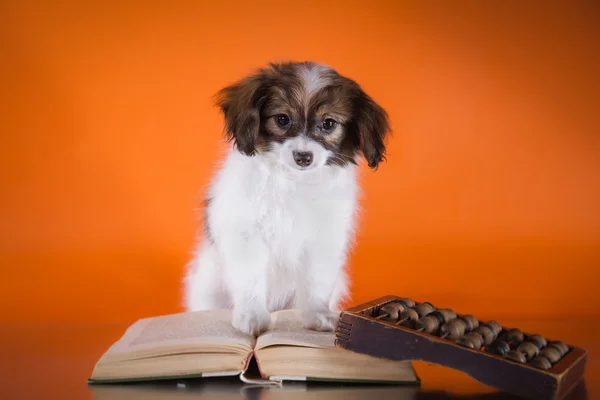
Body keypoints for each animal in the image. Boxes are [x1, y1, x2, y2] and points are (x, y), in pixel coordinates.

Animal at [183, 61, 390, 336]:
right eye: (282, 119)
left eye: (328, 123)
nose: (303, 157)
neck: (293, 181)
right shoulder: (245, 233)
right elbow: (250, 276)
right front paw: (251, 315)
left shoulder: (324, 237)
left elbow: (316, 280)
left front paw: (317, 315)